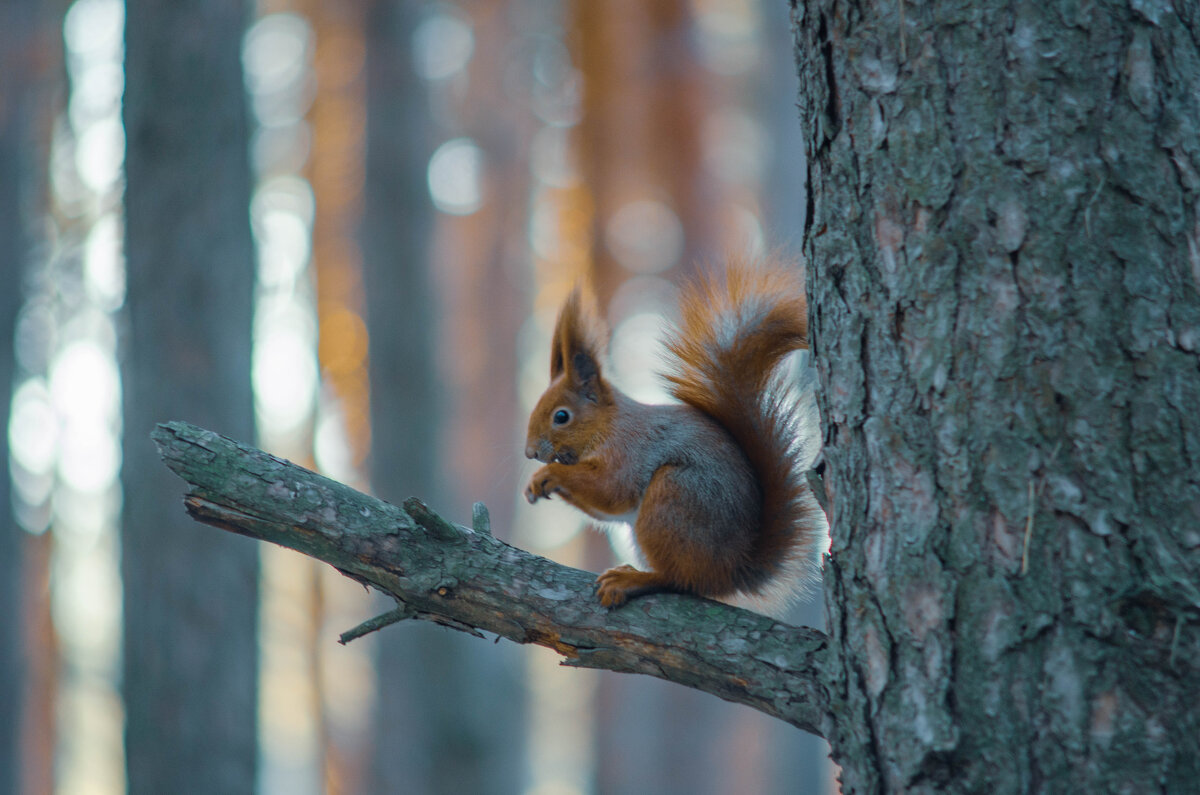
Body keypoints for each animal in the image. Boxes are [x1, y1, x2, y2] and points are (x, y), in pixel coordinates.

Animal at [525, 258, 825, 619]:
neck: (608, 426)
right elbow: (604, 509)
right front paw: (535, 484)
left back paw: (632, 579)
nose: (530, 452)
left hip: (673, 499)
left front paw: (549, 474)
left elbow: (611, 491)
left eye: (561, 416)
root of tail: (732, 571)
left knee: (682, 580)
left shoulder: (630, 450)